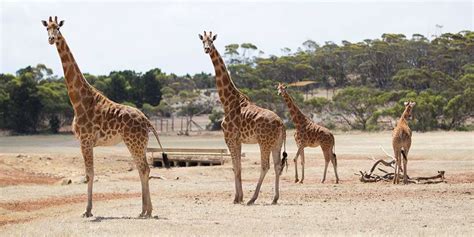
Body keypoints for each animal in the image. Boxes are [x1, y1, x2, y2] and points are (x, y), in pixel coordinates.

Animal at [40, 15, 169, 218]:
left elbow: (89, 174)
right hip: (138, 143)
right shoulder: (87, 142)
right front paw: (88, 209)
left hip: (134, 142)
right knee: (143, 169)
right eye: (47, 29)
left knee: (143, 168)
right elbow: (90, 174)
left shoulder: (85, 140)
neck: (79, 100)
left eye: (58, 28)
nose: (51, 39)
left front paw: (87, 211)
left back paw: (146, 211)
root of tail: (148, 121)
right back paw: (144, 211)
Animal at [198, 31, 286, 206]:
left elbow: (235, 167)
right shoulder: (238, 139)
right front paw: (239, 197)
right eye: (202, 41)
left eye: (211, 41)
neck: (228, 101)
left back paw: (253, 198)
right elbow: (237, 167)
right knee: (277, 166)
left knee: (265, 166)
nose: (206, 49)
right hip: (276, 143)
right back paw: (274, 198)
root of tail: (281, 125)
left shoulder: (230, 137)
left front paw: (237, 198)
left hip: (264, 142)